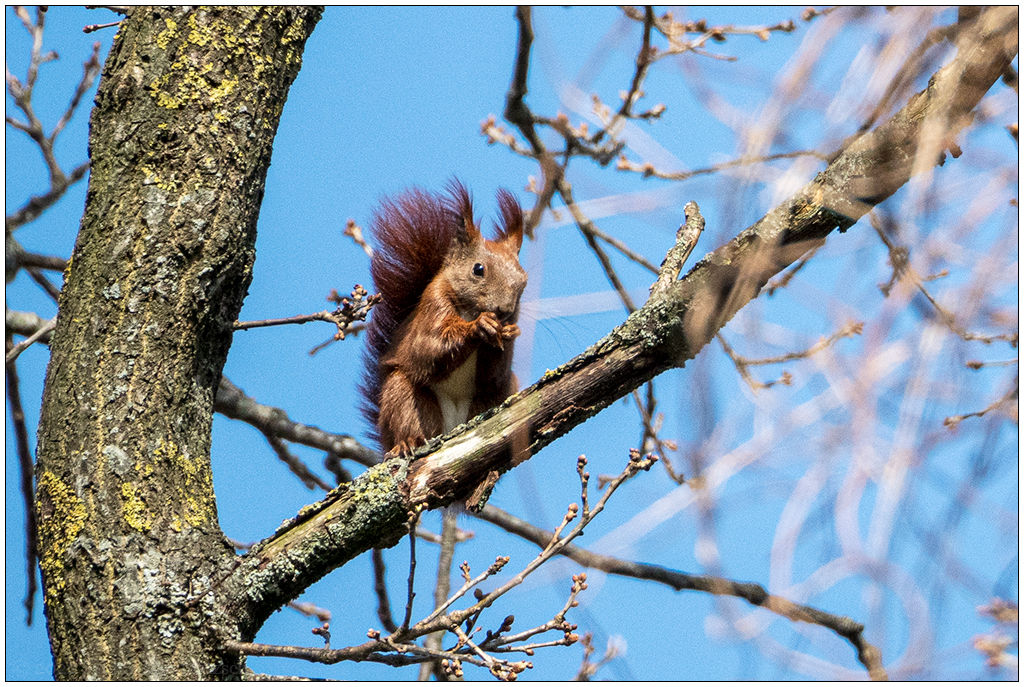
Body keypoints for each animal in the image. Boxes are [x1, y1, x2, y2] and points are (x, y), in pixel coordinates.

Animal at [361, 180, 527, 457]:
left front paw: (508, 334)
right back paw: (407, 443)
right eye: (478, 269)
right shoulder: (433, 305)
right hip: (404, 397)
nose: (504, 310)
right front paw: (478, 327)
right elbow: (428, 349)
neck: (470, 310)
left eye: (523, 281)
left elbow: (492, 377)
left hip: (493, 397)